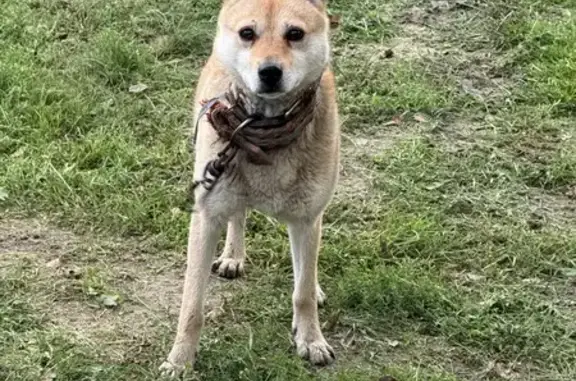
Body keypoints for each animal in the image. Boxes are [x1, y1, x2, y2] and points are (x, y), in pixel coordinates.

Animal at [160, 0, 340, 374]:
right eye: (247, 33)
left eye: (295, 33)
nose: (269, 72)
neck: (265, 135)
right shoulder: (206, 216)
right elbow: (192, 305)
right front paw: (180, 359)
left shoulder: (306, 219)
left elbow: (302, 291)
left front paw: (311, 338)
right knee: (238, 214)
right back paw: (233, 254)